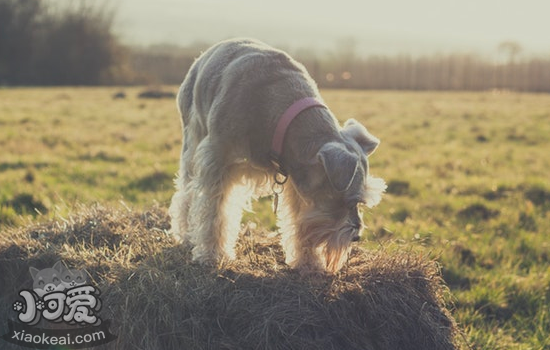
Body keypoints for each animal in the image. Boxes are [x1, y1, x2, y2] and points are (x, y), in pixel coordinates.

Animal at [168, 39, 388, 274]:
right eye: (347, 200)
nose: (356, 237)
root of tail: (205, 53)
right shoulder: (218, 162)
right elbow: (215, 214)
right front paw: (211, 255)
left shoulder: (296, 181)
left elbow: (298, 221)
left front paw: (308, 261)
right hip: (192, 140)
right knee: (186, 192)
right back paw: (186, 233)